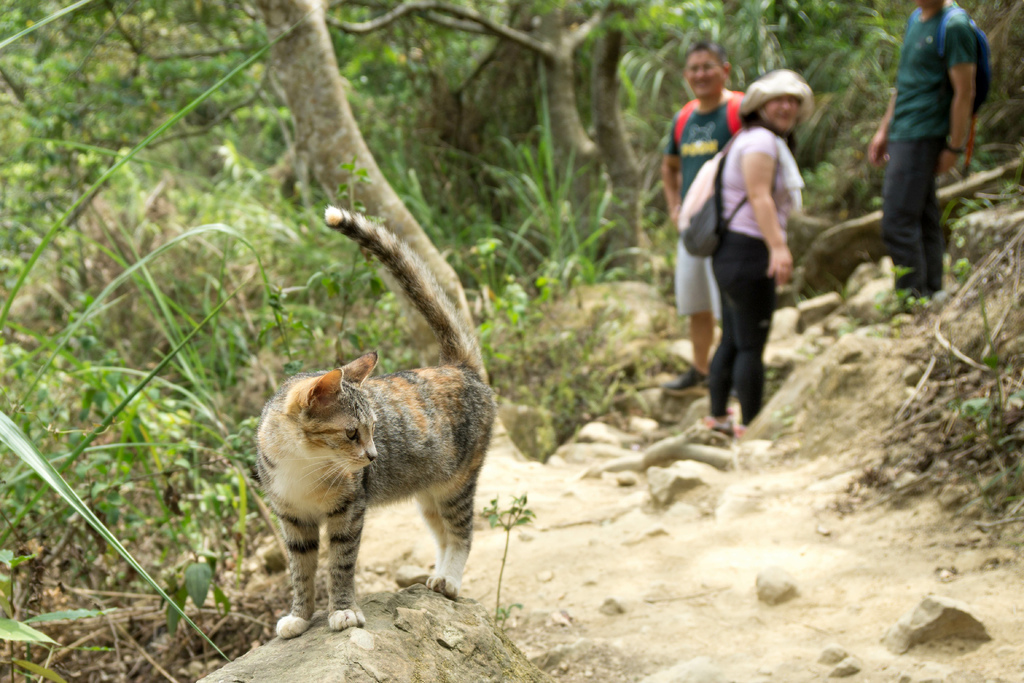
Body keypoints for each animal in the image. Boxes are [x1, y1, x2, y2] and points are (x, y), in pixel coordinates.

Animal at [256, 206, 495, 643]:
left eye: (373, 427)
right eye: (352, 432)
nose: (373, 456)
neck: (305, 466)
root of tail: (456, 366)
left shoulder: (349, 511)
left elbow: (340, 565)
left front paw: (343, 611)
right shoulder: (292, 519)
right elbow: (300, 572)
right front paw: (299, 617)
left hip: (457, 482)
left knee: (462, 531)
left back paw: (450, 581)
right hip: (428, 491)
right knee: (441, 533)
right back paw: (435, 578)